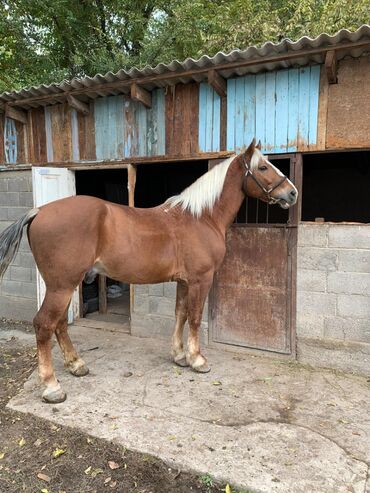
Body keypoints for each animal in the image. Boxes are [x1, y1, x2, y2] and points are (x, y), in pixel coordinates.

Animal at [0, 137, 296, 400]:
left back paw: (76, 365)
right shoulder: (200, 280)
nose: (292, 193)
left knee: (59, 323)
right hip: (62, 286)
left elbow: (180, 314)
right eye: (263, 167)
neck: (201, 217)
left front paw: (179, 356)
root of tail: (39, 211)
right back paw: (52, 387)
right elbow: (195, 317)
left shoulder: (184, 281)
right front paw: (198, 360)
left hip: (63, 284)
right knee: (44, 325)